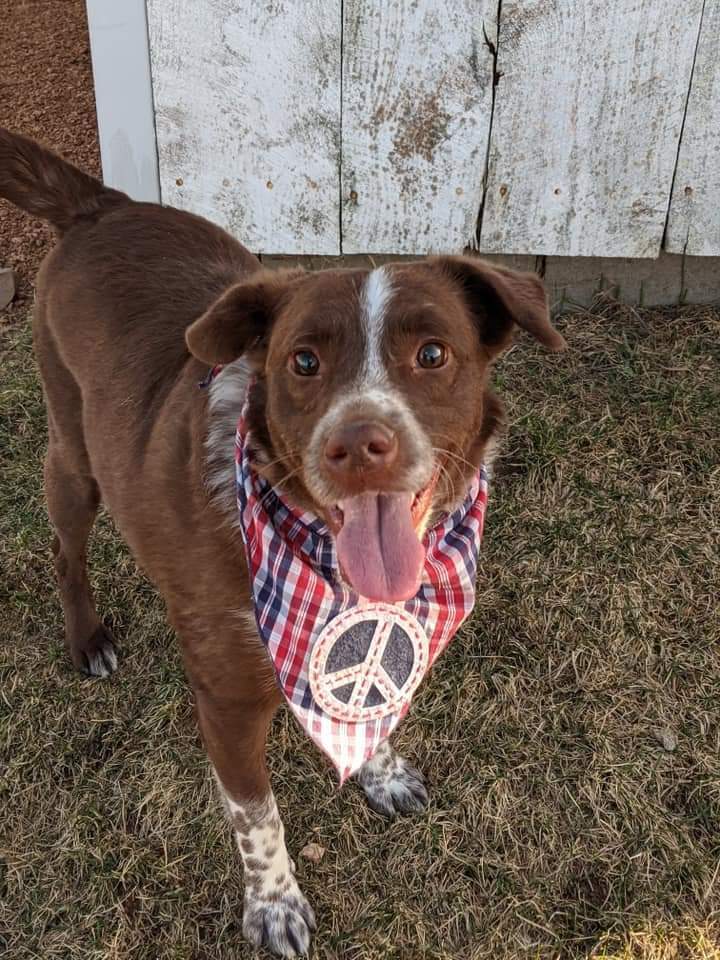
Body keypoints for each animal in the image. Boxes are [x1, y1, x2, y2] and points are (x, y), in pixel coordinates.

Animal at [0, 129, 564, 960]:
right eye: (302, 361)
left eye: (433, 354)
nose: (359, 444)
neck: (326, 567)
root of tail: (105, 203)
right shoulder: (229, 702)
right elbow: (255, 816)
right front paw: (273, 905)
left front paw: (381, 773)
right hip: (73, 455)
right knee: (67, 551)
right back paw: (87, 638)